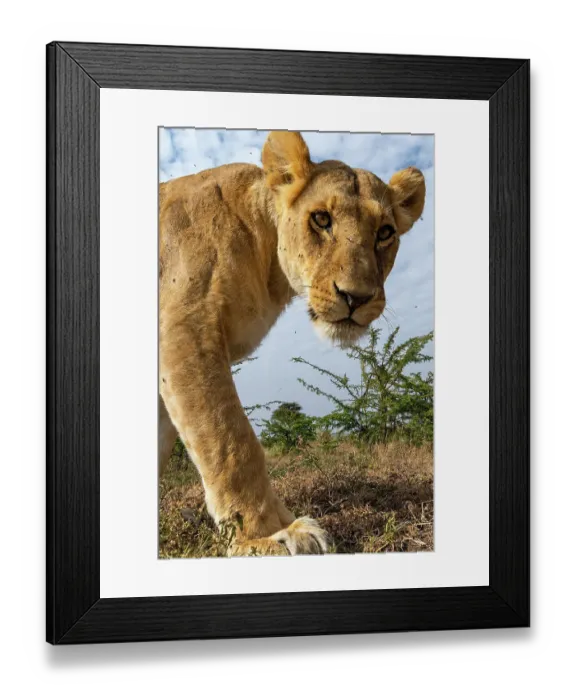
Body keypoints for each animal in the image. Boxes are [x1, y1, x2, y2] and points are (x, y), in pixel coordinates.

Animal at [159, 131, 426, 556]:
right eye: (321, 219)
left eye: (385, 232)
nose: (356, 297)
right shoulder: (185, 327)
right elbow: (230, 441)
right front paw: (265, 536)